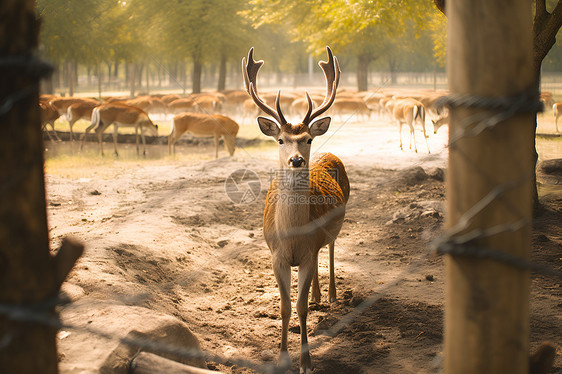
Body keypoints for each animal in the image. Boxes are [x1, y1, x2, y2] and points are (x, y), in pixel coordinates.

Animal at [242, 45, 348, 372]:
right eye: (280, 139)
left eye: (308, 139)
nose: (297, 160)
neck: (291, 237)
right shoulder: (276, 256)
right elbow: (285, 307)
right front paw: (282, 357)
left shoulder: (306, 253)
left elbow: (299, 308)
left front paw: (306, 361)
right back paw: (317, 296)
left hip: (333, 229)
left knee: (331, 248)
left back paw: (330, 295)